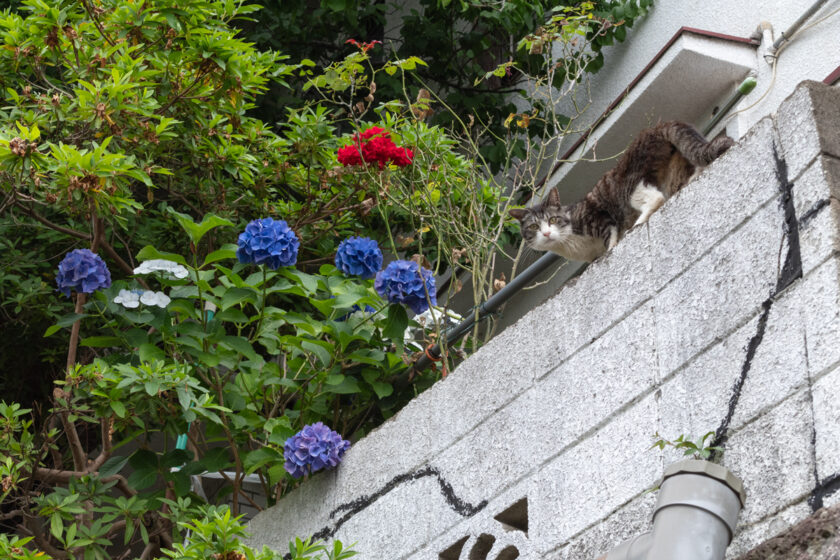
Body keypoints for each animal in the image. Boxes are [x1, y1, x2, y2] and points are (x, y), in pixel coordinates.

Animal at [508, 121, 732, 262]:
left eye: (553, 220)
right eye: (534, 226)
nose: (546, 233)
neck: (570, 245)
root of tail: (656, 127)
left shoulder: (597, 215)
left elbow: (611, 235)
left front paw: (611, 248)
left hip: (630, 187)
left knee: (656, 198)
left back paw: (637, 223)